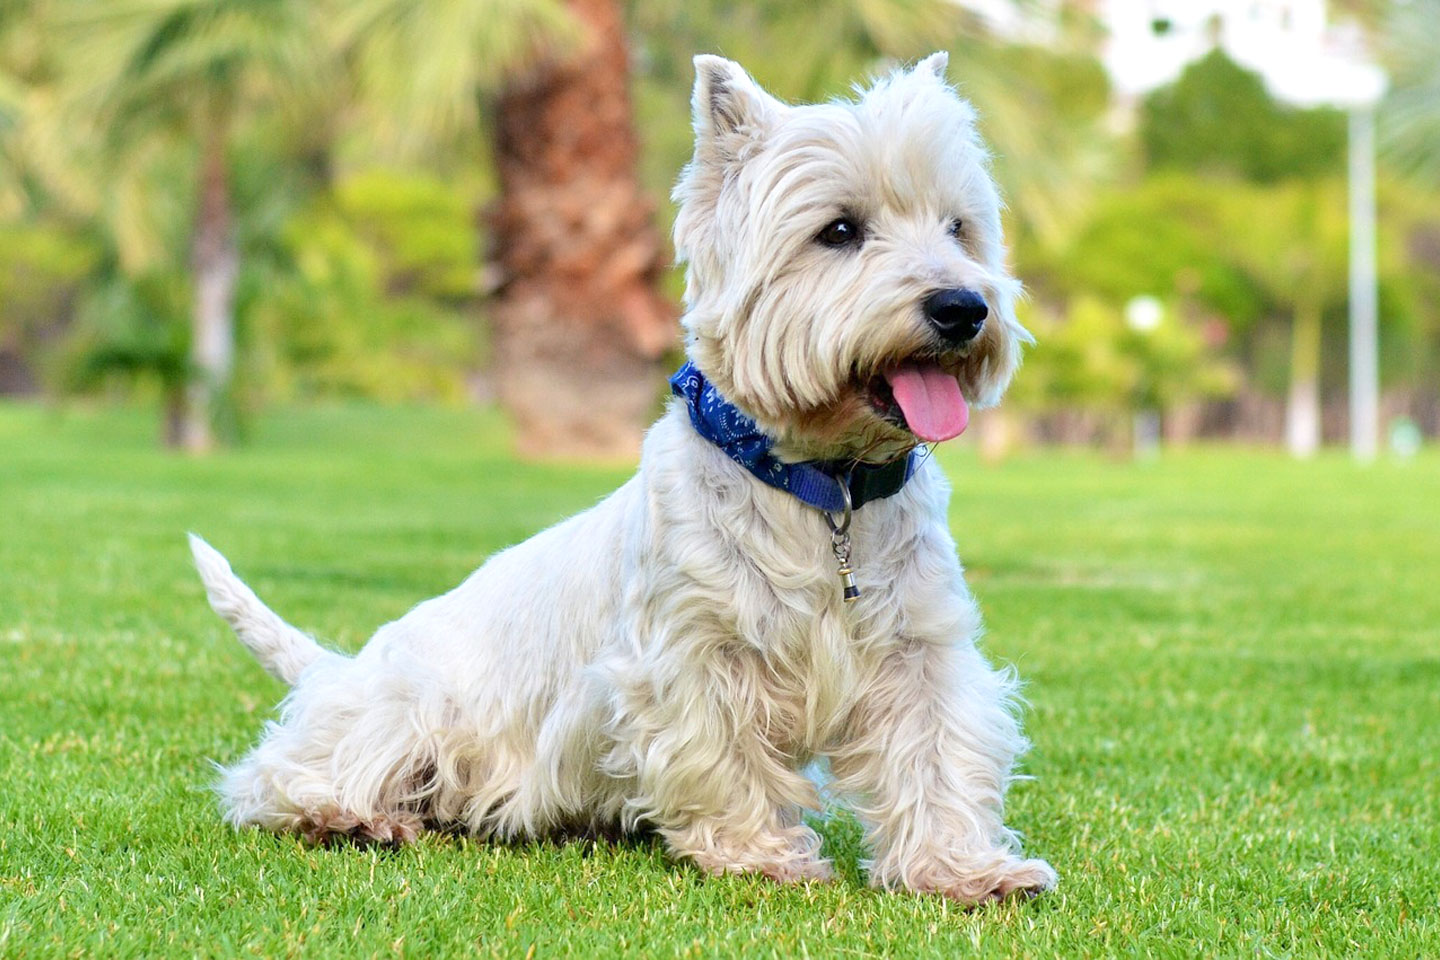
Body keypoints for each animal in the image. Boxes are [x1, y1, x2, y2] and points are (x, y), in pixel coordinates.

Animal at [191, 54, 1059, 909]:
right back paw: (347, 816)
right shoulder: (692, 651)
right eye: (839, 230)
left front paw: (964, 869)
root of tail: (339, 669)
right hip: (404, 711)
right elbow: (724, 756)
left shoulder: (919, 647)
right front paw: (759, 856)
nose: (963, 307)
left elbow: (938, 753)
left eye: (958, 226)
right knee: (275, 774)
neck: (825, 489)